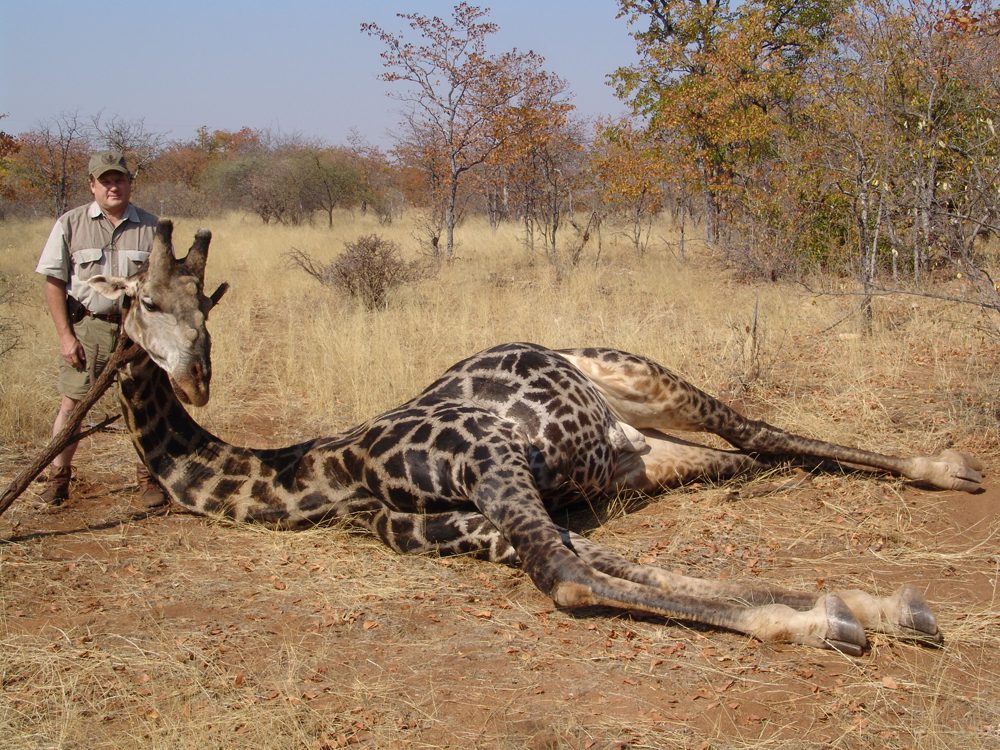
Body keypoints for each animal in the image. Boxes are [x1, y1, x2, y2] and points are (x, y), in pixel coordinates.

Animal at [88, 220, 984, 656]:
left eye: (199, 307)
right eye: (145, 304)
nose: (195, 377)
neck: (329, 472)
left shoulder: (492, 460)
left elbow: (573, 575)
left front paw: (827, 618)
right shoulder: (460, 522)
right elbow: (616, 559)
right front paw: (848, 605)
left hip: (643, 375)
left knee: (757, 431)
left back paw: (947, 469)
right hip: (642, 458)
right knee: (746, 456)